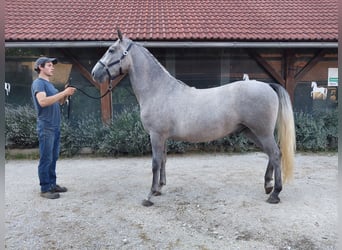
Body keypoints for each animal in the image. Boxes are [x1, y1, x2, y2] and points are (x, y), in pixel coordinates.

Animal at [91, 30, 296, 206]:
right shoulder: (162, 137)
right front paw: (159, 188)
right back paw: (268, 186)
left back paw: (275, 193)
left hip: (262, 132)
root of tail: (267, 85)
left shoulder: (156, 135)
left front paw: (149, 195)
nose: (95, 73)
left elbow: (155, 163)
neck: (158, 90)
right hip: (252, 132)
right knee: (271, 154)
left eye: (111, 50)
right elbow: (163, 160)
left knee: (275, 154)